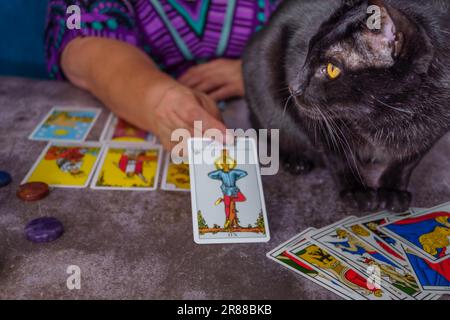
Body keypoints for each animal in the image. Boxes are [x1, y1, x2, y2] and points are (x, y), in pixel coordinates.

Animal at [244, 0, 450, 212]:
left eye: (331, 69)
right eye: (308, 50)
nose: (294, 87)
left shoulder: (436, 127)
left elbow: (407, 160)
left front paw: (392, 191)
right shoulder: (318, 121)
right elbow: (338, 156)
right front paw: (356, 190)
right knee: (266, 129)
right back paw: (295, 161)